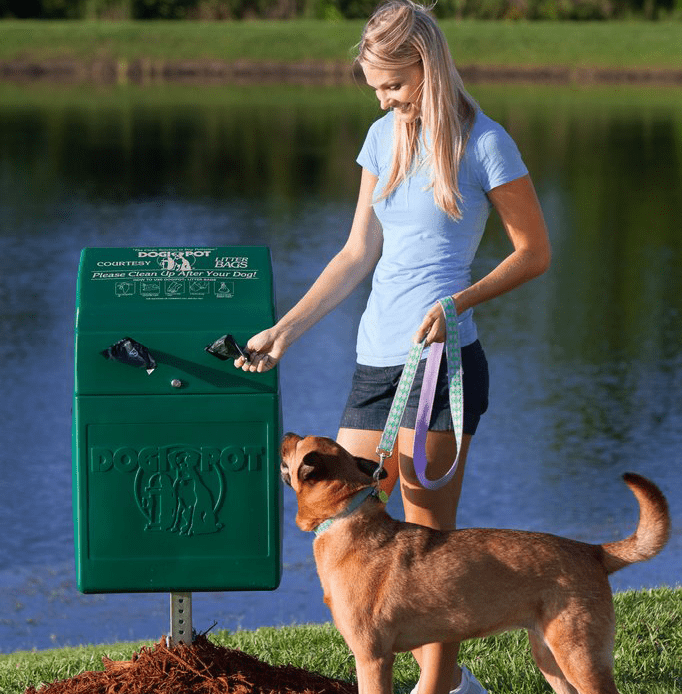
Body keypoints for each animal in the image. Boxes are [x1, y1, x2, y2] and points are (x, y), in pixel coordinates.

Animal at [280, 436, 668, 694]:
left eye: (296, 443)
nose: (285, 434)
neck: (345, 515)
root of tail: (592, 550)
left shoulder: (372, 658)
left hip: (580, 656)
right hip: (551, 657)